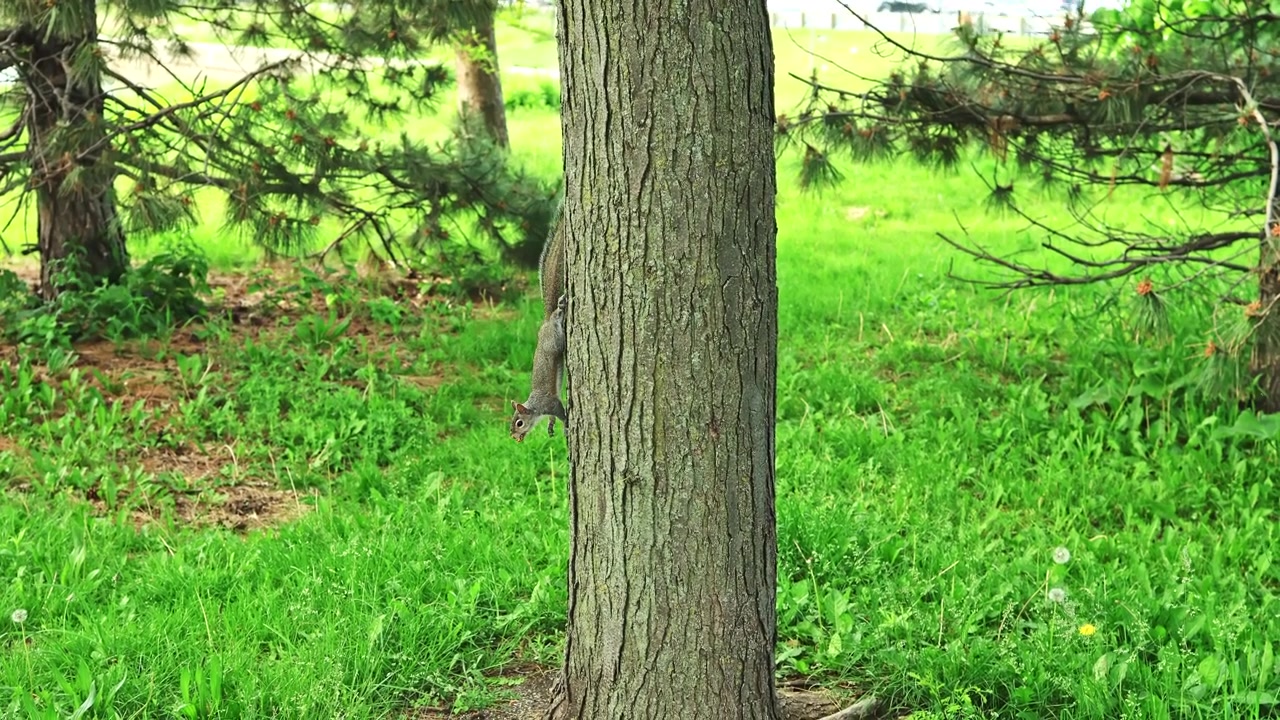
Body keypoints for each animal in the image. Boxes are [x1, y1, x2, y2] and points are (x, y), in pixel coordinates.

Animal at [509, 207, 568, 443]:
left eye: (519, 423)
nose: (514, 438)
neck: (535, 409)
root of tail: (545, 322)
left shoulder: (551, 403)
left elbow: (561, 412)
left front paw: (565, 425)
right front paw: (551, 426)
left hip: (555, 342)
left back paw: (560, 311)